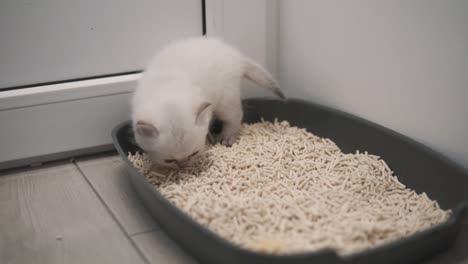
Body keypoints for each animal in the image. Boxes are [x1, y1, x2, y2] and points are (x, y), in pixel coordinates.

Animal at [132, 36, 286, 167]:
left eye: (193, 154)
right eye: (169, 160)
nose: (183, 166)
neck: (168, 89)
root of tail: (236, 56)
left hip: (226, 99)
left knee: (235, 117)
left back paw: (227, 137)